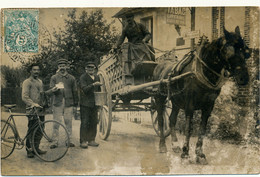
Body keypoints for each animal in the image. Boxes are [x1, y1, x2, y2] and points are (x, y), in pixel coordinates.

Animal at [153, 26, 251, 165]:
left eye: (246, 52)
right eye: (227, 51)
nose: (244, 78)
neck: (202, 71)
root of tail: (159, 65)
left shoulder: (208, 106)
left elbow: (203, 129)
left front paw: (200, 154)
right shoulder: (189, 105)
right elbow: (189, 128)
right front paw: (185, 153)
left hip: (176, 101)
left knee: (172, 119)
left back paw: (175, 145)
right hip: (159, 98)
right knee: (161, 120)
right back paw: (162, 145)